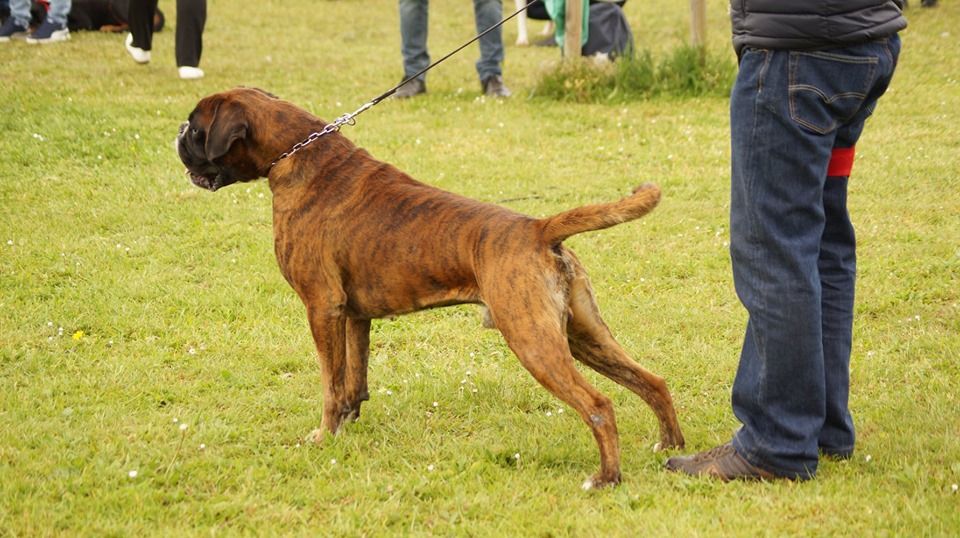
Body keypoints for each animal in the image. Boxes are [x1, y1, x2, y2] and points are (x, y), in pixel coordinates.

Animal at [174, 87, 684, 486]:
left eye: (196, 128)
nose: (177, 133)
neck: (298, 154)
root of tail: (538, 228)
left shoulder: (322, 308)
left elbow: (330, 384)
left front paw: (322, 436)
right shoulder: (354, 316)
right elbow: (353, 381)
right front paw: (347, 427)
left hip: (533, 341)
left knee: (598, 404)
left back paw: (608, 477)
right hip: (583, 335)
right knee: (652, 382)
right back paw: (670, 447)